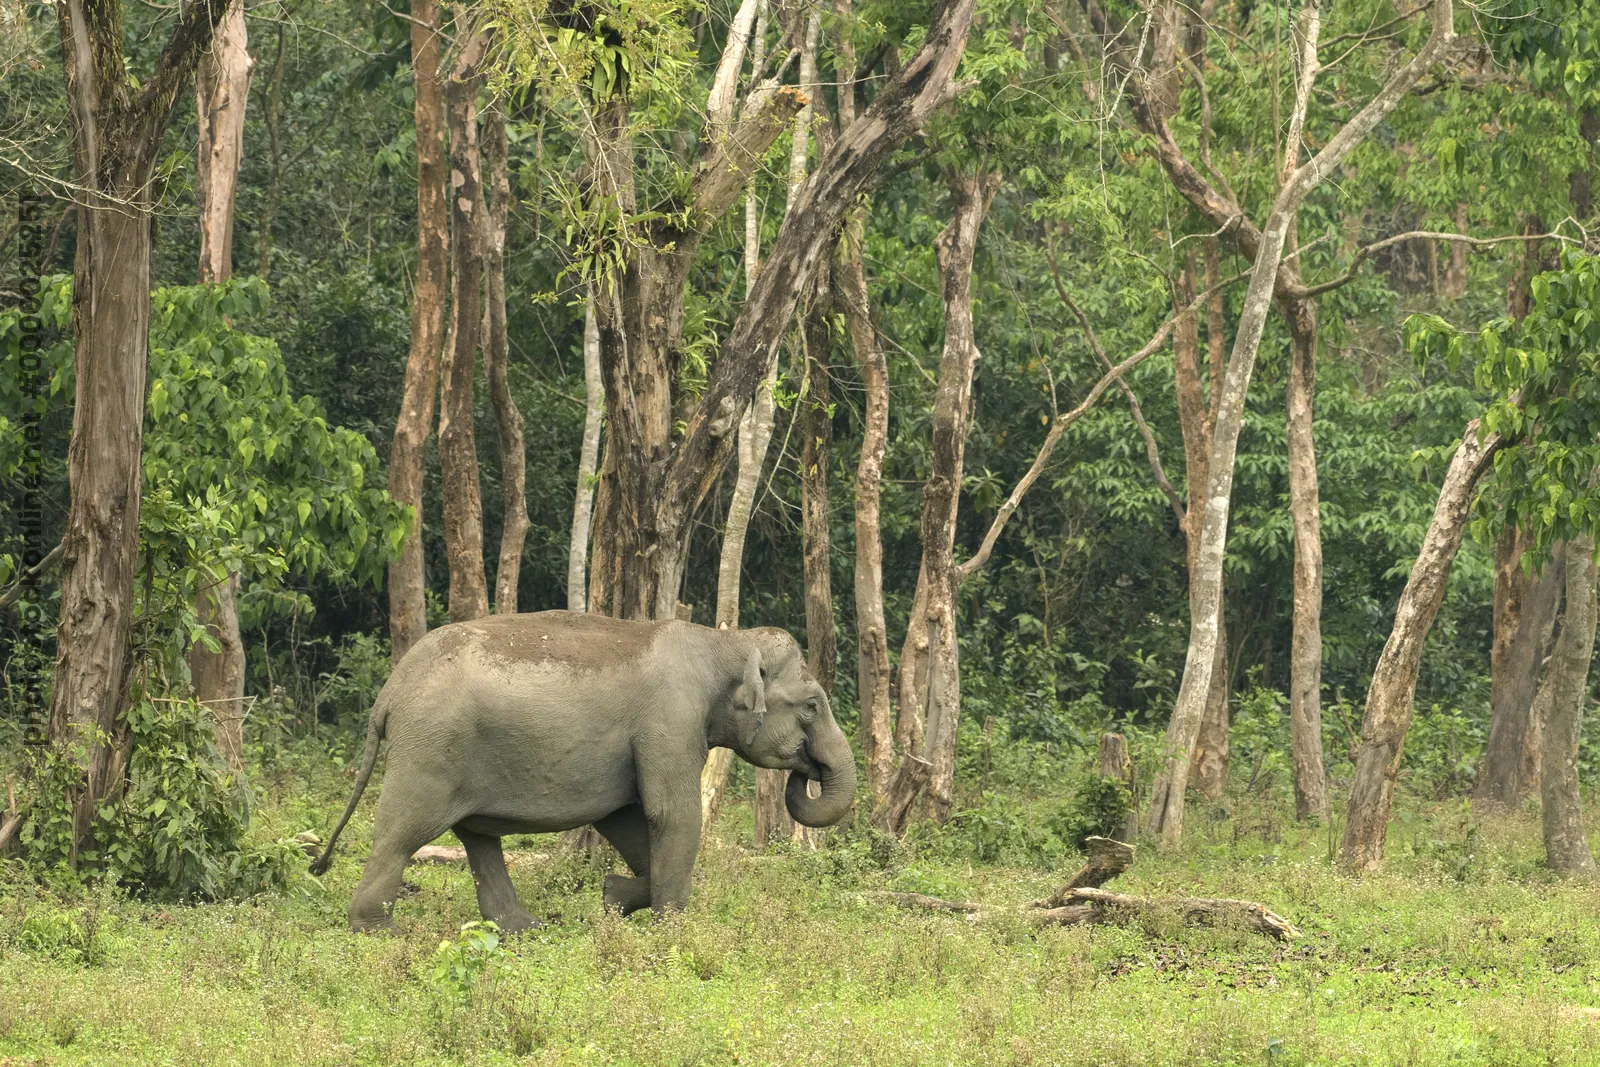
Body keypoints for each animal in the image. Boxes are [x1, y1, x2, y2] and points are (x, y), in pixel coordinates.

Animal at [309, 611, 856, 931]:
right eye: (811, 705)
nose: (805, 771)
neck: (724, 644)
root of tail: (389, 692)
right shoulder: (669, 721)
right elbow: (671, 816)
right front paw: (672, 933)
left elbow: (627, 818)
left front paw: (613, 896)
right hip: (430, 752)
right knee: (402, 833)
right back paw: (382, 931)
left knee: (478, 838)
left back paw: (525, 929)